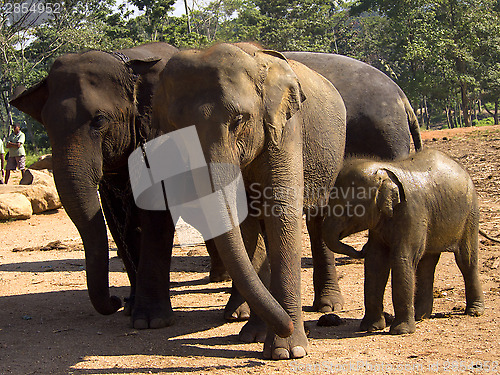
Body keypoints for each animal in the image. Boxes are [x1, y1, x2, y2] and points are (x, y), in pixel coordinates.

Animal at [9, 44, 227, 330]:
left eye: (99, 120)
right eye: (46, 123)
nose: (116, 300)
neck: (131, 61)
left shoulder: (162, 137)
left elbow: (156, 213)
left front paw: (150, 321)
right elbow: (115, 219)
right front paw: (131, 308)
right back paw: (218, 277)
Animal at [151, 44, 348, 362]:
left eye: (239, 120)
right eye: (175, 130)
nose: (286, 324)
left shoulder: (286, 128)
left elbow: (281, 213)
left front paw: (289, 350)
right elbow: (246, 225)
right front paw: (257, 336)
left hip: (330, 158)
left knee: (317, 218)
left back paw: (328, 307)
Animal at [324, 149, 484, 334]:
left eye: (348, 209)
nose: (361, 248)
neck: (385, 172)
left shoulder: (413, 213)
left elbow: (403, 259)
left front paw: (401, 331)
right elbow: (375, 262)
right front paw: (370, 327)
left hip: (470, 215)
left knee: (466, 260)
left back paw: (474, 312)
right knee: (427, 263)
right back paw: (421, 316)